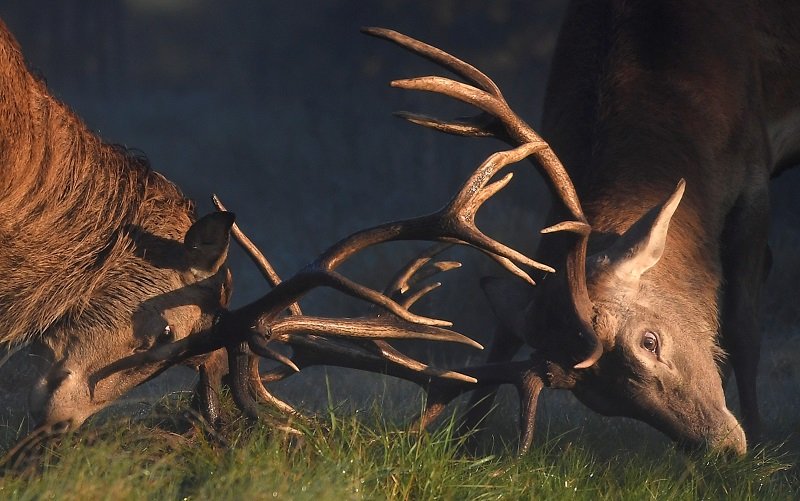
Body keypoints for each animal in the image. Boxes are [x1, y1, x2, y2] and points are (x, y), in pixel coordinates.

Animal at [364, 0, 800, 456]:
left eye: (649, 340)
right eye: (604, 402)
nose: (723, 448)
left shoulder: (753, 169)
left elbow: (743, 326)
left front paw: (762, 443)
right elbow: (509, 320)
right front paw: (468, 436)